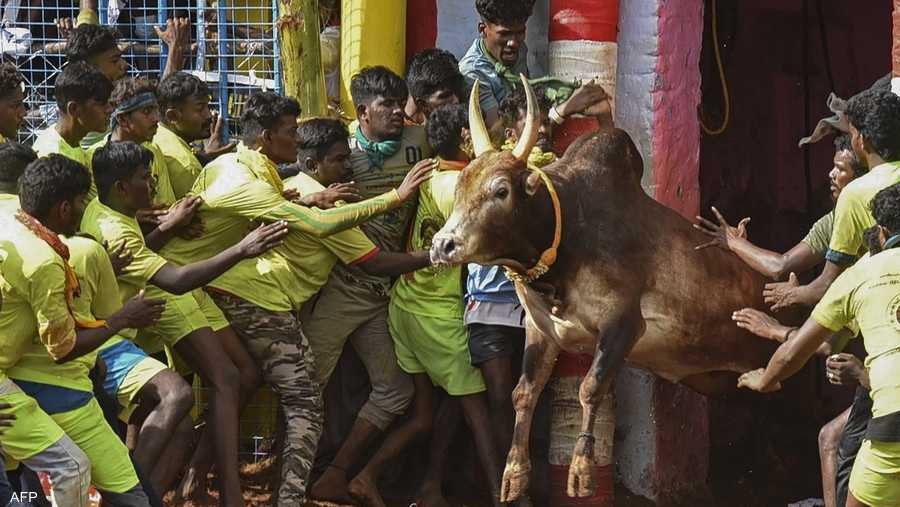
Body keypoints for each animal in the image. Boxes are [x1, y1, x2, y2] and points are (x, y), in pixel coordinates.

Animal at [430, 77, 780, 502]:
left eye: (501, 191)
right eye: (460, 187)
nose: (442, 245)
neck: (565, 237)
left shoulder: (624, 324)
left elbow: (590, 388)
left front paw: (581, 470)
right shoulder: (540, 329)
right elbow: (523, 393)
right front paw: (513, 473)